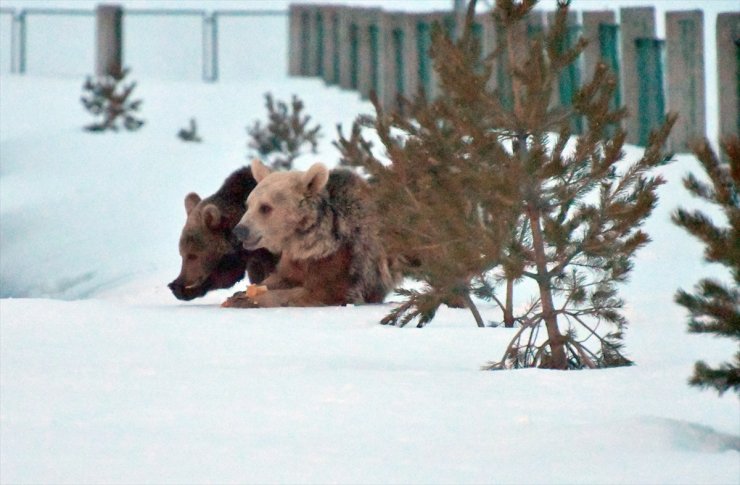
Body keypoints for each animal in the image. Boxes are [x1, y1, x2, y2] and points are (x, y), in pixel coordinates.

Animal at [224, 161, 398, 308]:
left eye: (265, 207)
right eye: (248, 204)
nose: (240, 230)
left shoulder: (344, 257)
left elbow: (324, 291)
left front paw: (247, 299)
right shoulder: (297, 258)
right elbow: (281, 277)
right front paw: (240, 294)